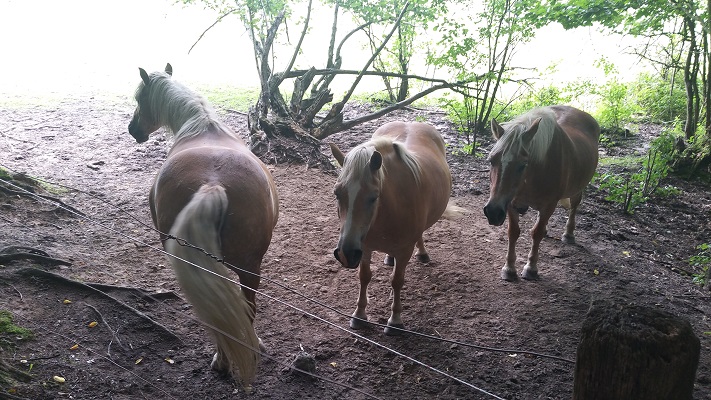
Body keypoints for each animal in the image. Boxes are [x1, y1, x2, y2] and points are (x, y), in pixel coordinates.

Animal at [127, 64, 279, 387]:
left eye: (139, 98)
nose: (133, 129)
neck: (201, 125)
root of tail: (213, 184)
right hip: (249, 268)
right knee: (242, 309)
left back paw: (223, 361)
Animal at [330, 121, 453, 335]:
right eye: (337, 193)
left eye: (373, 197)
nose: (346, 253)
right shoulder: (364, 247)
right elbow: (364, 277)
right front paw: (359, 314)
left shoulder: (404, 251)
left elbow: (396, 281)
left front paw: (395, 320)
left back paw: (422, 253)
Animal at [483, 105, 599, 281]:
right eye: (491, 161)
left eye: (522, 165)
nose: (493, 212)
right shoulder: (509, 203)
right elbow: (513, 232)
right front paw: (509, 268)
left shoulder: (548, 205)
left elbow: (536, 234)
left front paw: (531, 268)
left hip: (578, 188)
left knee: (574, 206)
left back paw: (569, 234)